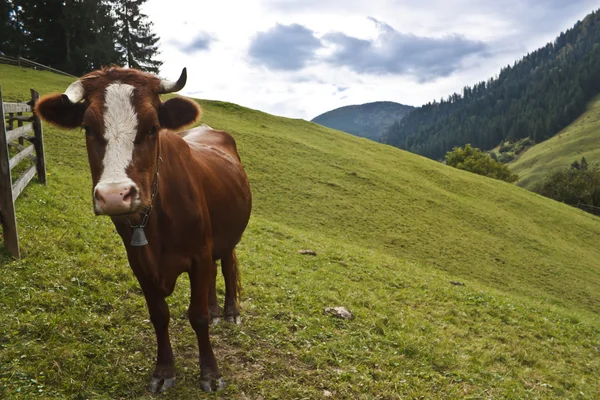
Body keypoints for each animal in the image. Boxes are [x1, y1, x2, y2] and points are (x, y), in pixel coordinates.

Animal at [35, 66, 251, 394]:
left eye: (153, 127)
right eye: (87, 128)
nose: (115, 195)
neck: (155, 222)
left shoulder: (199, 255)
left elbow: (198, 316)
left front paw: (210, 373)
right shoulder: (139, 262)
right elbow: (159, 316)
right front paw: (163, 371)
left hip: (228, 237)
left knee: (225, 266)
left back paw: (229, 312)